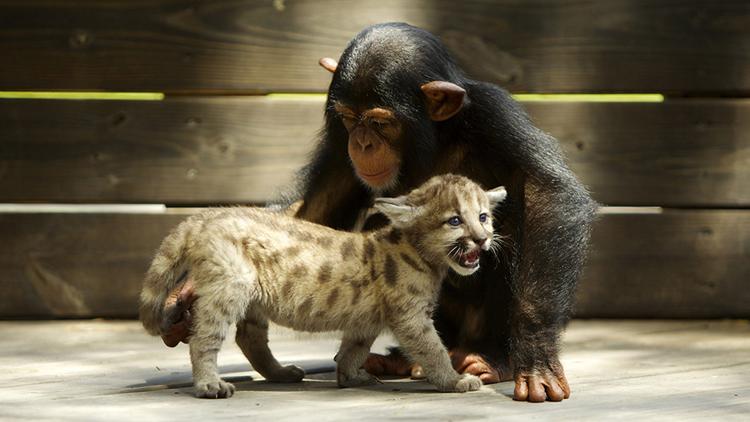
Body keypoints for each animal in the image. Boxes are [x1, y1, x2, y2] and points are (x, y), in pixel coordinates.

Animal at [163, 22, 600, 402]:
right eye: (349, 118)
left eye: (379, 122)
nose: (363, 142)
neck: (433, 139)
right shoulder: (338, 145)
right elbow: (319, 206)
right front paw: (185, 292)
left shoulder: (496, 117)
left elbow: (545, 194)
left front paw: (537, 356)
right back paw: (399, 361)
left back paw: (488, 359)